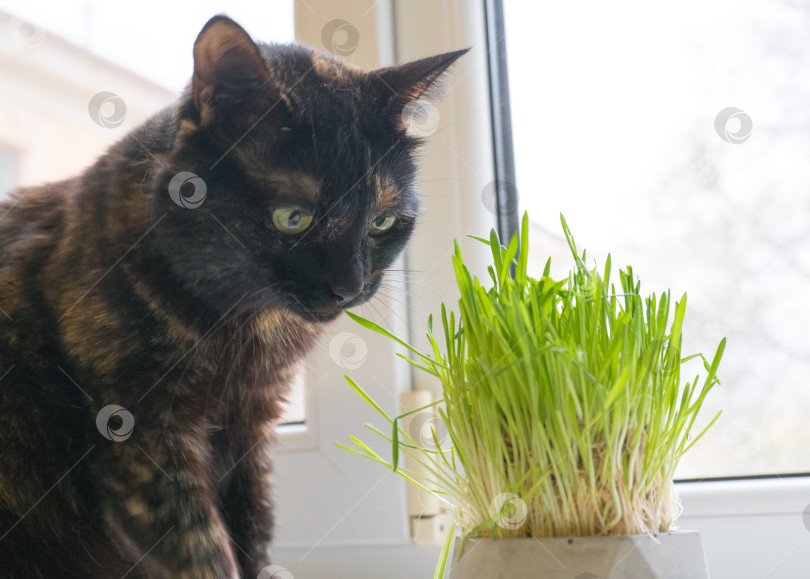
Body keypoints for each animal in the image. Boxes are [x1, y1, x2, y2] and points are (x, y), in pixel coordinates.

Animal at [0, 14, 468, 579]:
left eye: (381, 221)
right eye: (293, 217)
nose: (350, 285)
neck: (244, 331)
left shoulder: (250, 429)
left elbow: (253, 530)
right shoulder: (142, 436)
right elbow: (202, 552)